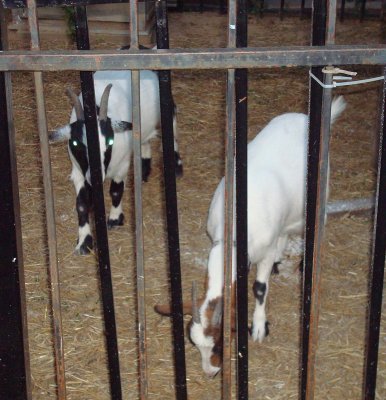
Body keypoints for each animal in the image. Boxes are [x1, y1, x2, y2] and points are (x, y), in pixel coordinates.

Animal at [50, 70, 182, 255]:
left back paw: (177, 167)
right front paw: (84, 242)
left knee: (173, 133)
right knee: (145, 141)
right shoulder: (78, 171)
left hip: (168, 111)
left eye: (110, 141)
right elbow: (82, 203)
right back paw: (144, 170)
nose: (96, 175)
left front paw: (114, 218)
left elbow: (115, 191)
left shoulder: (122, 165)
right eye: (75, 143)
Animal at [155, 96, 348, 376]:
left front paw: (258, 327)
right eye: (195, 344)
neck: (234, 233)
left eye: (220, 343)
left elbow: (259, 288)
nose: (211, 373)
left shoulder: (263, 253)